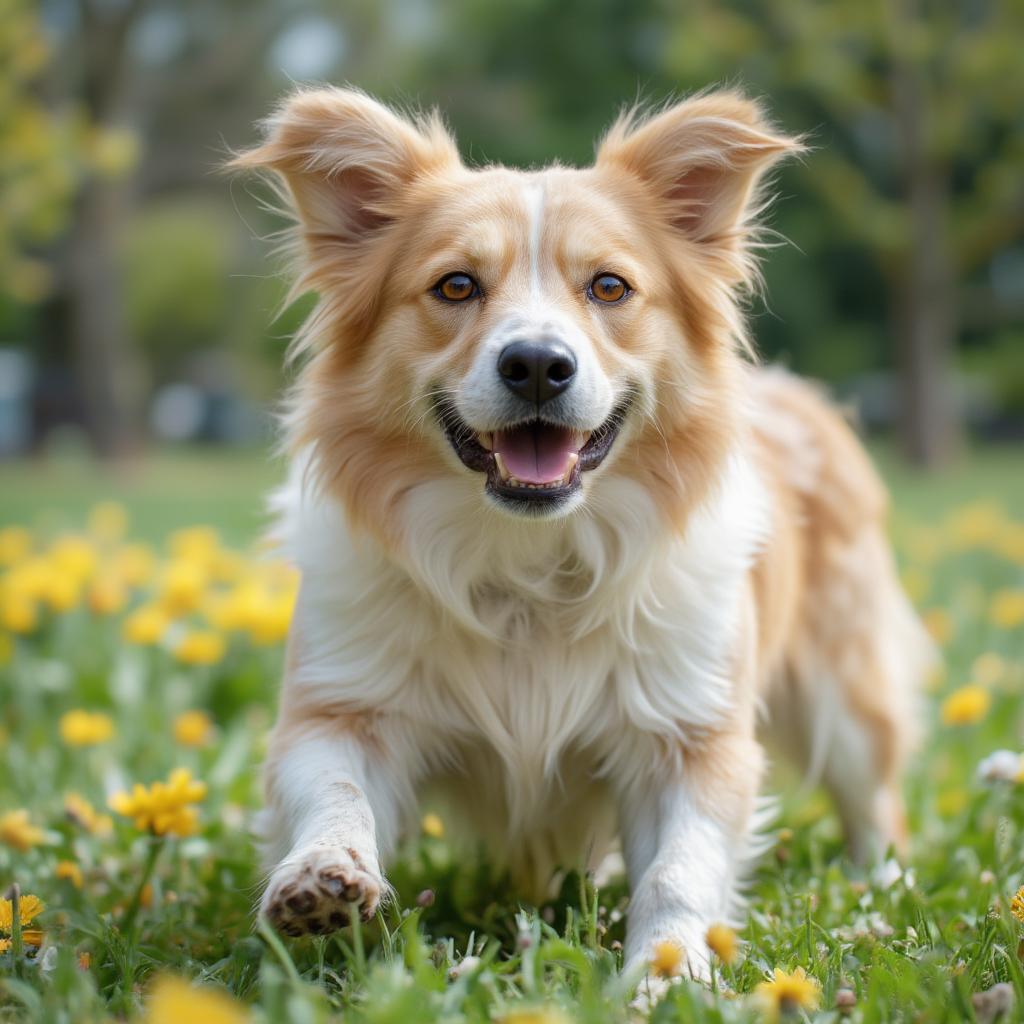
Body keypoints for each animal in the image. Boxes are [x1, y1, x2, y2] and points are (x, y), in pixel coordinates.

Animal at [234, 88, 937, 974]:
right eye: (456, 286)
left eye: (608, 286)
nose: (537, 364)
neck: (529, 560)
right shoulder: (343, 705)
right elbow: (334, 789)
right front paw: (323, 875)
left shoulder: (692, 734)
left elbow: (678, 870)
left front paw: (669, 971)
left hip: (844, 692)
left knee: (875, 795)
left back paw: (883, 888)